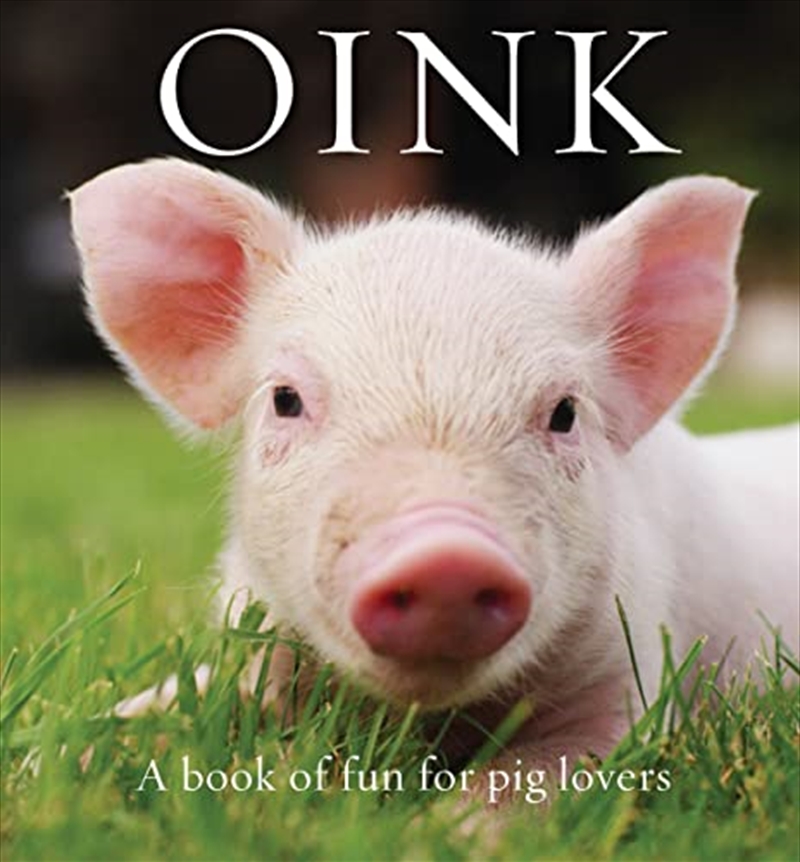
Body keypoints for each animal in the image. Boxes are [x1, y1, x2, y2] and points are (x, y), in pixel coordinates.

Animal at [69, 159, 799, 789]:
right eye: (285, 399)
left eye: (564, 413)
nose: (445, 554)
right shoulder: (258, 637)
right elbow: (167, 703)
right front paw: (77, 752)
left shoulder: (629, 668)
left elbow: (537, 775)